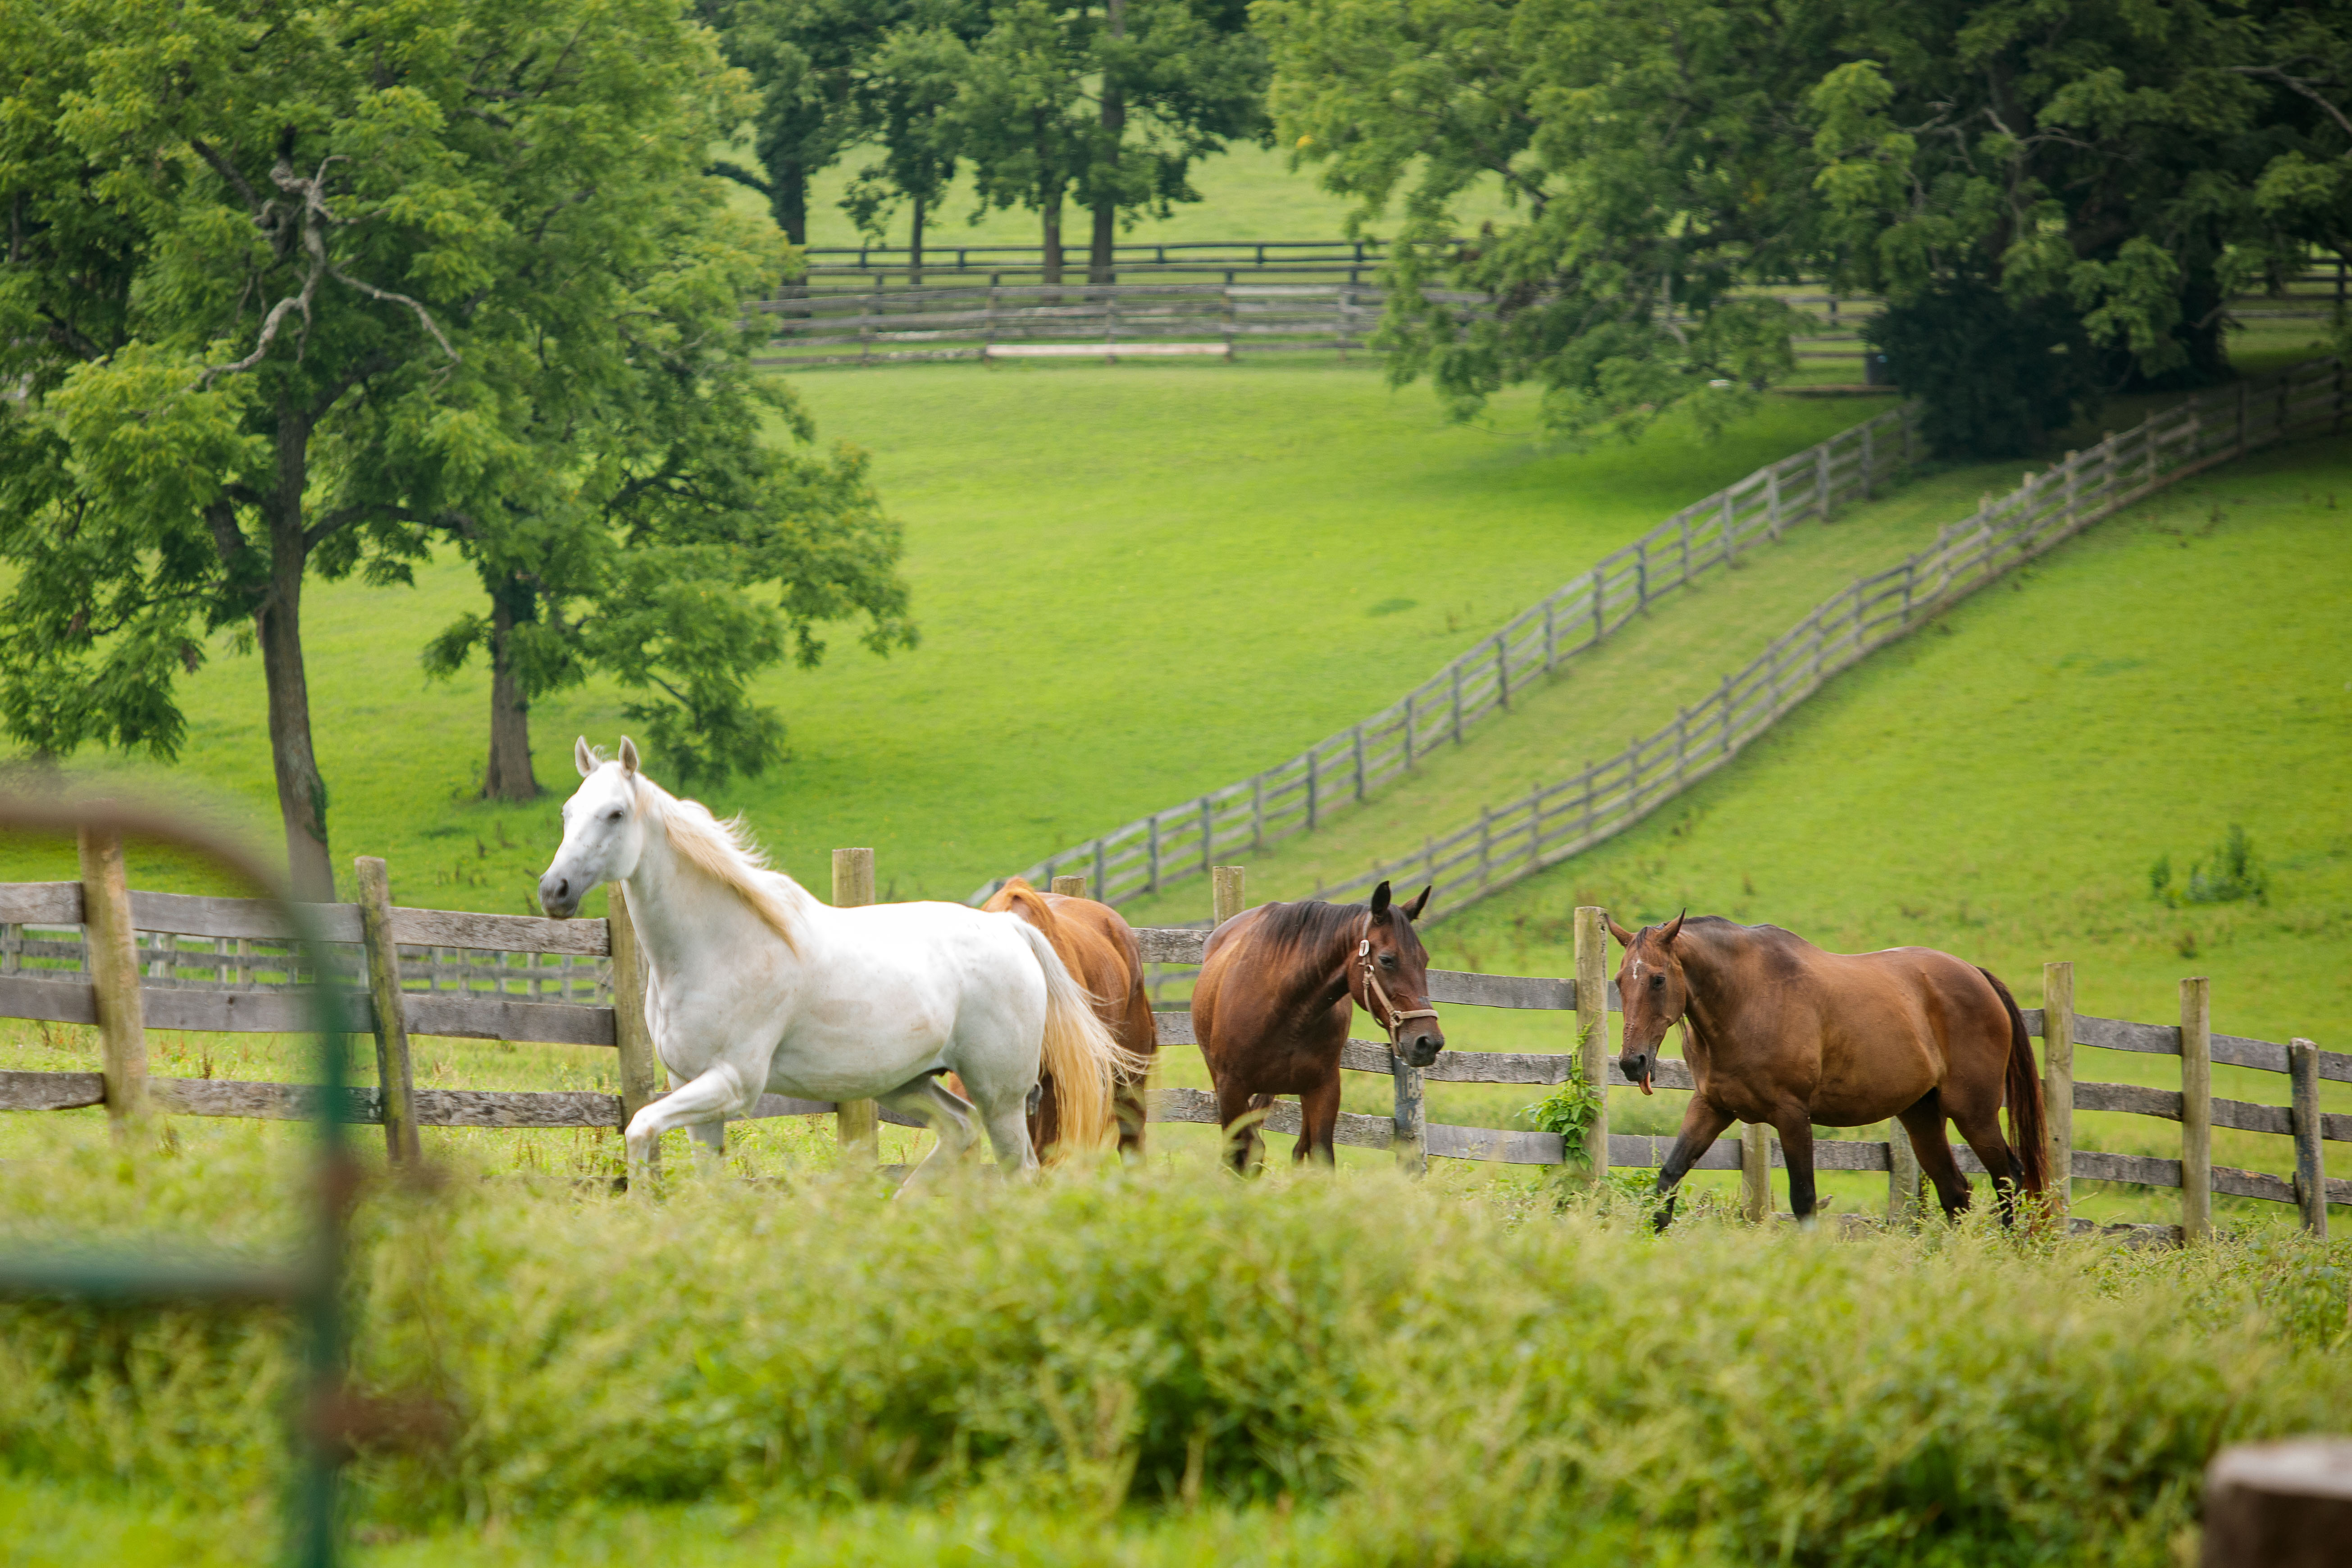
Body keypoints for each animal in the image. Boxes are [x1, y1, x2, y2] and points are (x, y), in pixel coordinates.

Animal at [536, 738, 1139, 1185]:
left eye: (615, 814)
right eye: (567, 812)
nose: (553, 891)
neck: (716, 949)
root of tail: (1009, 929)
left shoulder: (733, 1083)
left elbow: (638, 1128)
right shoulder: (690, 1086)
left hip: (1002, 1094)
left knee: (1019, 1168)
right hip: (907, 1081)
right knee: (959, 1131)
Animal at [1190, 880, 1443, 1174]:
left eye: (1424, 960)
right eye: (1387, 960)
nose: (1429, 1042)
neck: (1285, 1009)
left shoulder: (1324, 1089)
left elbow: (1320, 1157)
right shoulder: (1231, 1088)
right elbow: (1243, 1153)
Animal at [1610, 913, 2047, 1231]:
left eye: (1658, 979)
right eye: (1618, 981)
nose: (1633, 1063)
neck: (1745, 1000)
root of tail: (1977, 975)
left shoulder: (1792, 1115)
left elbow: (1804, 1200)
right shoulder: (1711, 1108)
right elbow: (1668, 1179)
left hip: (1973, 1113)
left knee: (2008, 1178)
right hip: (1922, 1116)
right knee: (1956, 1193)